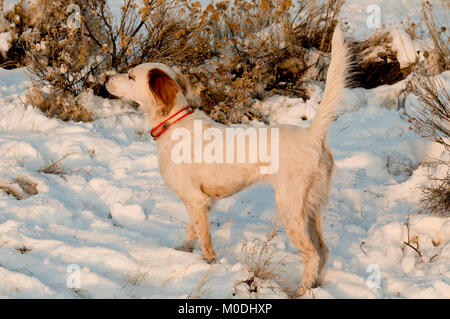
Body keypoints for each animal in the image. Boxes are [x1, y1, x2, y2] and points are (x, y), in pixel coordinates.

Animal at [106, 24, 352, 298]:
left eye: (130, 76)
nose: (105, 78)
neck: (174, 123)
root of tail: (313, 136)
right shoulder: (199, 202)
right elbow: (192, 231)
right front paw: (183, 252)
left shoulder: (195, 199)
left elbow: (204, 240)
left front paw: (208, 265)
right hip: (311, 208)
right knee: (323, 251)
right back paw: (315, 286)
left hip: (291, 208)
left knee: (311, 254)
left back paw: (298, 291)